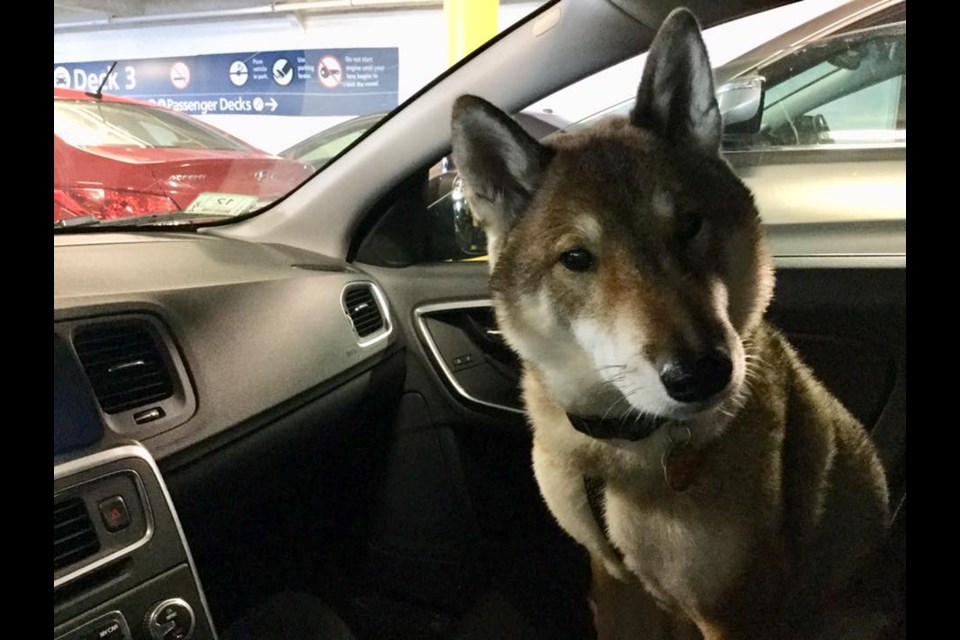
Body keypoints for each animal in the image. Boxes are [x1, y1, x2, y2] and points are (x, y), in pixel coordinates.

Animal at [454, 6, 888, 640]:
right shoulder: (612, 583)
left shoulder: (734, 611)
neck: (620, 447)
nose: (700, 374)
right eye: (577, 258)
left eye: (688, 226)